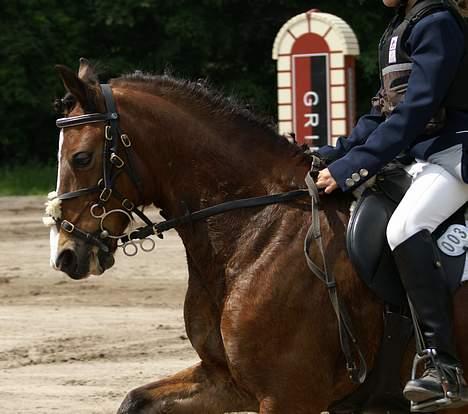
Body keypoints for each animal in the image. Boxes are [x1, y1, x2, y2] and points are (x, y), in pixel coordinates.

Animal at [48, 59, 468, 414]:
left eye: (81, 158)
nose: (65, 253)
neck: (254, 231)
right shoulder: (226, 381)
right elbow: (134, 401)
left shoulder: (288, 397)